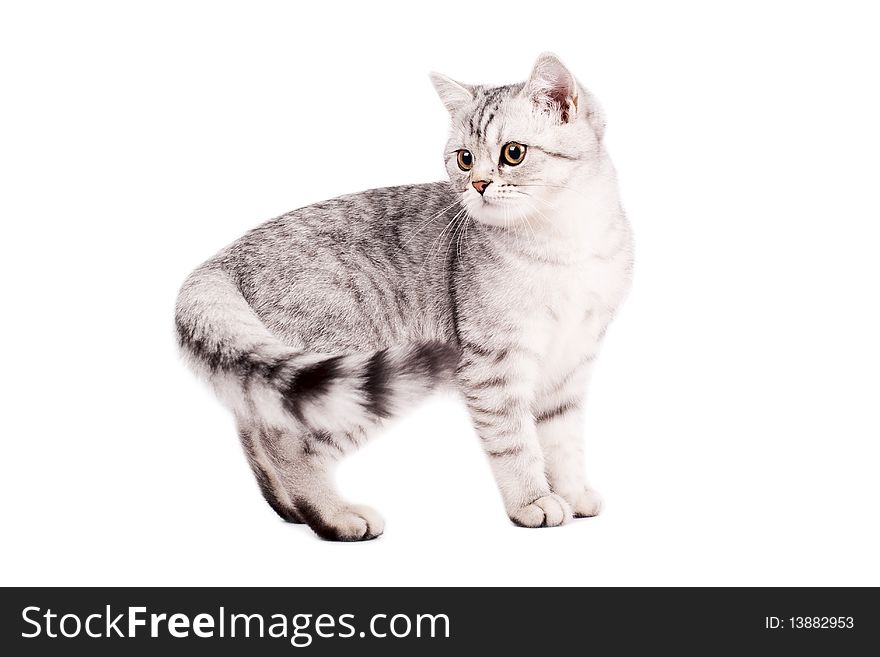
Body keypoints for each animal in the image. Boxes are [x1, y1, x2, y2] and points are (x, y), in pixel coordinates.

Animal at [175, 53, 632, 540]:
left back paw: (290, 508)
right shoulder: (493, 366)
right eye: (465, 159)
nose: (478, 184)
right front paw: (532, 501)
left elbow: (562, 441)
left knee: (255, 422)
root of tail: (228, 255)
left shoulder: (570, 364)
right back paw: (334, 516)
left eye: (513, 153)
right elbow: (515, 444)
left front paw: (571, 492)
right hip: (350, 376)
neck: (565, 244)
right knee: (287, 442)